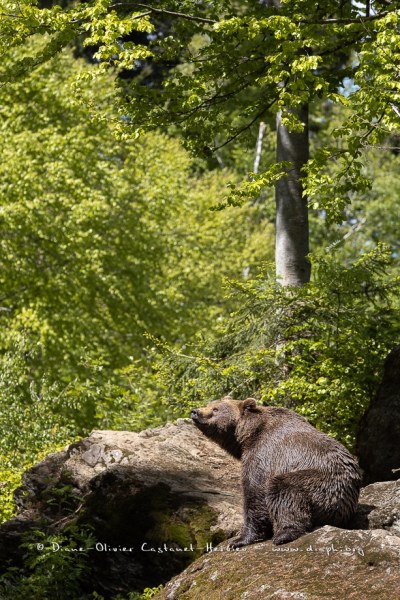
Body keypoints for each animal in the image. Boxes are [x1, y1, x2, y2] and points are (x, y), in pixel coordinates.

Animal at [191, 396, 362, 548]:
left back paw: (284, 534)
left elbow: (255, 493)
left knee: (283, 489)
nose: (195, 411)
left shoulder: (263, 455)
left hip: (323, 482)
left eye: (216, 409)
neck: (248, 436)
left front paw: (239, 540)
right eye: (210, 404)